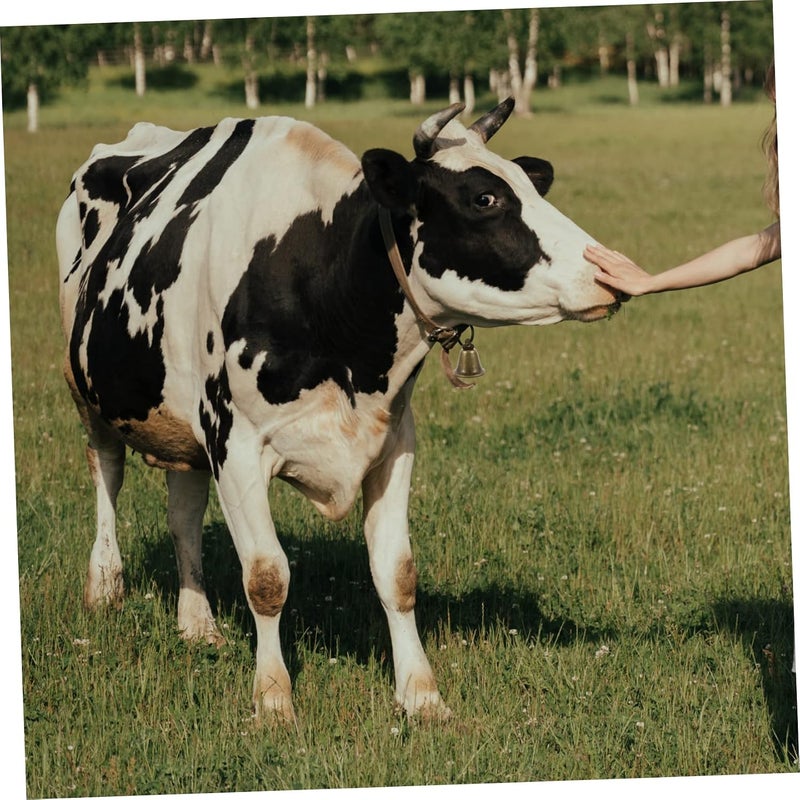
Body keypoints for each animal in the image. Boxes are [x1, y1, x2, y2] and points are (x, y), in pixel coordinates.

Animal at [56, 98, 620, 724]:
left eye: (529, 184)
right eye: (483, 199)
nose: (609, 269)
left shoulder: (392, 444)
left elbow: (397, 574)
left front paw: (421, 696)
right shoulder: (237, 444)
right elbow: (266, 577)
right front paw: (274, 701)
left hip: (184, 428)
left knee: (183, 514)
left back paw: (198, 625)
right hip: (88, 391)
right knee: (107, 474)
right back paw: (104, 587)